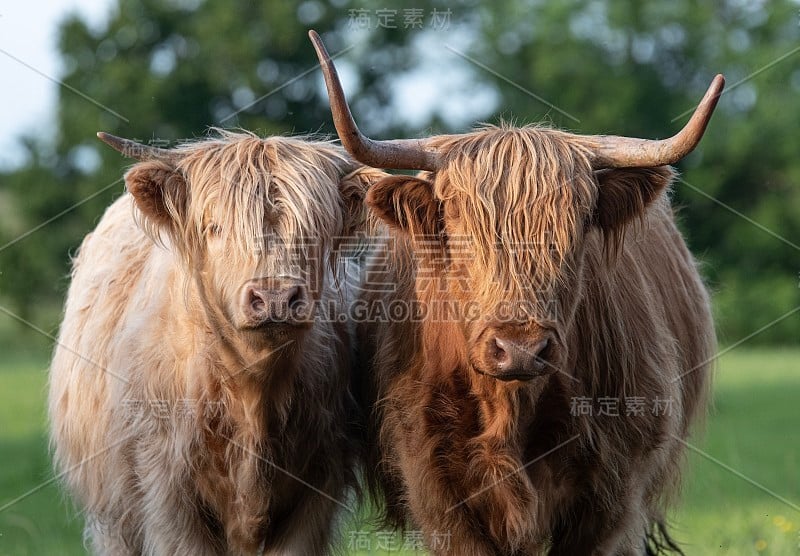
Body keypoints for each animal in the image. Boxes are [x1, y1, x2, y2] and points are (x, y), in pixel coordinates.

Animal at [48, 131, 386, 556]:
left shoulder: (316, 493)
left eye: (315, 229)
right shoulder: (167, 497)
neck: (253, 395)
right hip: (113, 515)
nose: (274, 297)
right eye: (215, 227)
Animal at [310, 31, 720, 556]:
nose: (520, 348)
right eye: (457, 222)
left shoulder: (614, 492)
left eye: (579, 223)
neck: (511, 411)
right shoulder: (435, 485)